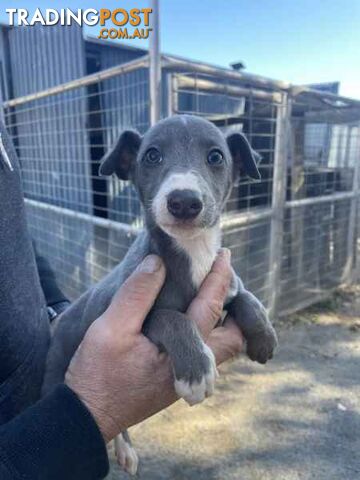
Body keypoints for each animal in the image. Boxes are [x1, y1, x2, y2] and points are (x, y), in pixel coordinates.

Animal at [43, 114, 278, 474]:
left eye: (216, 156)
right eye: (152, 155)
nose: (184, 201)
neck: (192, 252)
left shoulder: (224, 281)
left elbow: (246, 296)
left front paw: (264, 337)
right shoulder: (136, 318)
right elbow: (172, 318)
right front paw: (196, 371)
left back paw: (125, 450)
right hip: (55, 371)